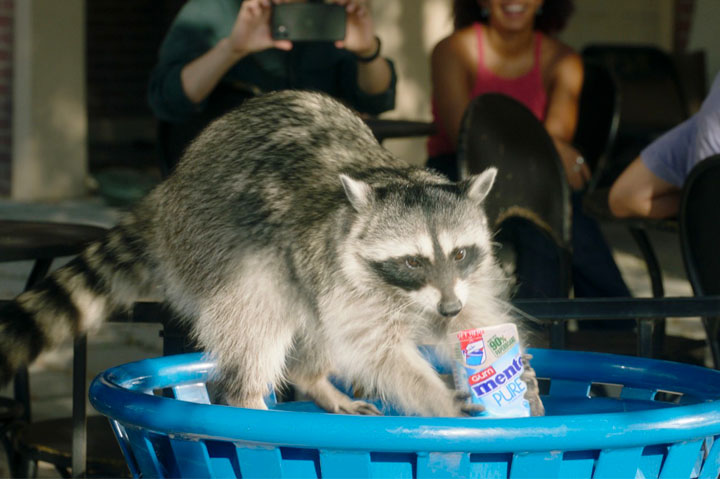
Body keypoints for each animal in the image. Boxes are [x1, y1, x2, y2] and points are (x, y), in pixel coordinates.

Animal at [0, 90, 540, 416]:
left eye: (460, 253)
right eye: (412, 261)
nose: (446, 306)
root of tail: (169, 188)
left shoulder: (467, 278)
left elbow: (473, 321)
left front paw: (513, 371)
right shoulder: (345, 276)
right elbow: (380, 353)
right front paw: (437, 395)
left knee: (312, 327)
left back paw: (312, 377)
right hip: (217, 248)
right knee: (259, 316)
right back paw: (249, 401)